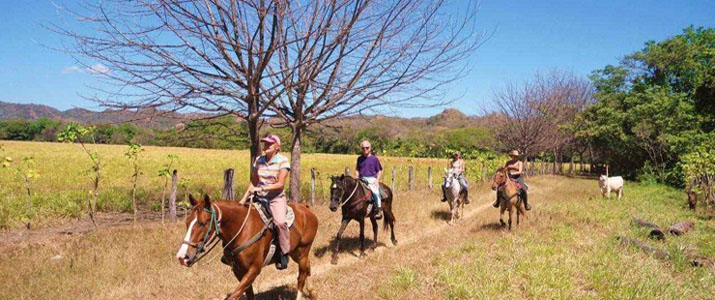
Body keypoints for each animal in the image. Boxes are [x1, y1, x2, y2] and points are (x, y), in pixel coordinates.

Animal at [176, 195, 318, 300]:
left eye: (202, 223)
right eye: (187, 222)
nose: (182, 257)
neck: (242, 230)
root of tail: (305, 208)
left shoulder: (254, 270)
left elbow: (234, 296)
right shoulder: (238, 271)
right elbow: (249, 294)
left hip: (303, 251)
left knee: (301, 277)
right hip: (295, 253)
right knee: (307, 267)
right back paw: (312, 292)